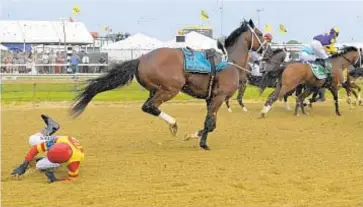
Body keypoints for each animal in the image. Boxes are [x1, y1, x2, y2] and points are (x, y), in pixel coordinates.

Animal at [69, 19, 266, 150]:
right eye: (261, 34)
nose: (266, 48)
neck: (230, 62)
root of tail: (141, 59)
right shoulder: (219, 97)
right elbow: (210, 124)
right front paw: (197, 139)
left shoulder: (211, 99)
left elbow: (210, 123)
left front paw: (198, 139)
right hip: (170, 89)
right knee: (150, 106)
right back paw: (173, 124)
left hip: (155, 89)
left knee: (148, 107)